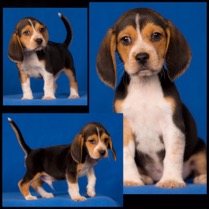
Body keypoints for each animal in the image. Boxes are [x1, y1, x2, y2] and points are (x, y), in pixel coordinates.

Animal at [96, 7, 207, 188]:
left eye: (156, 35)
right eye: (125, 40)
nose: (142, 56)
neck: (144, 87)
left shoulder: (172, 127)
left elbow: (172, 156)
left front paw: (171, 179)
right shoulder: (125, 127)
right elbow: (127, 157)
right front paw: (131, 180)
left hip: (201, 149)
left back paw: (202, 177)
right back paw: (144, 178)